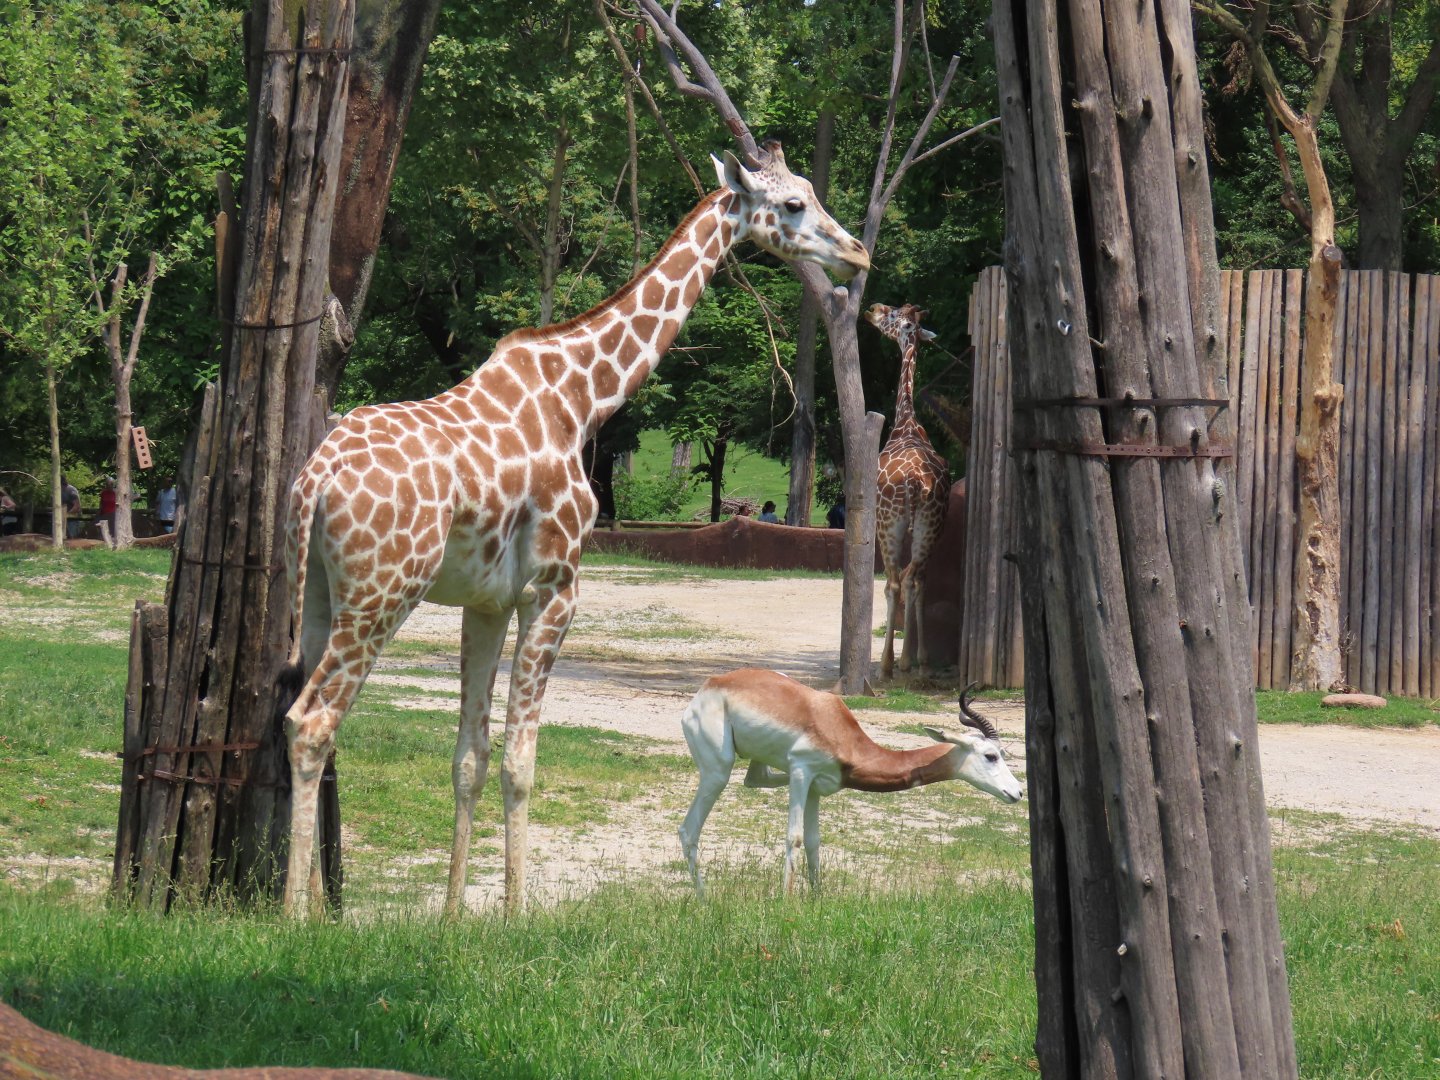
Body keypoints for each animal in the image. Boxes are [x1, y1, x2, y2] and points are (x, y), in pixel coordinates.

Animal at [277, 144, 869, 916]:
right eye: (794, 203)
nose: (856, 254)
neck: (583, 396)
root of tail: (315, 480)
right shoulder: (556, 588)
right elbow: (521, 762)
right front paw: (515, 915)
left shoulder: (487, 601)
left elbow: (469, 758)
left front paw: (452, 916)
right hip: (384, 591)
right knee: (313, 721)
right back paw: (294, 916)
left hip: (321, 592)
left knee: (307, 720)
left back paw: (319, 909)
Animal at [677, 668, 1023, 895]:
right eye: (991, 756)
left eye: (1005, 753)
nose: (1018, 792)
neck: (842, 734)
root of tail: (711, 685)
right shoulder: (802, 771)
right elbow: (795, 837)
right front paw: (787, 901)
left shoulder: (816, 787)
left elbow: (814, 841)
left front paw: (816, 898)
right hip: (718, 771)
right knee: (689, 830)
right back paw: (704, 899)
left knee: (753, 779)